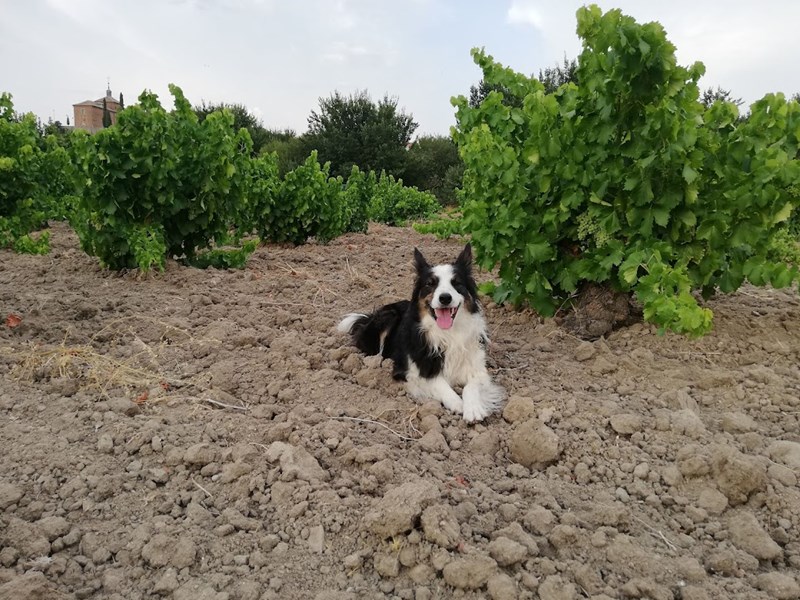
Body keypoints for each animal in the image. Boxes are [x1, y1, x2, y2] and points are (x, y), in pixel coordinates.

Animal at [340, 244, 506, 422]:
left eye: (456, 283)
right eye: (430, 284)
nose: (445, 298)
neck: (449, 333)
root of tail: (368, 318)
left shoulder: (479, 371)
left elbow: (471, 386)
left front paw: (473, 409)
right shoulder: (412, 371)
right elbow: (440, 383)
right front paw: (457, 403)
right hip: (388, 316)